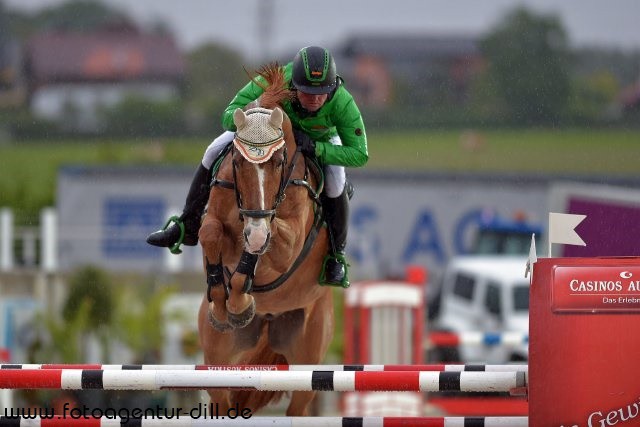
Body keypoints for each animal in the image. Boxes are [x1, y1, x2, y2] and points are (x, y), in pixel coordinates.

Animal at [198, 64, 332, 418]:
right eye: (237, 161)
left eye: (278, 161)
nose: (255, 227)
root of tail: (270, 322)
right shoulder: (217, 217)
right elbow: (210, 234)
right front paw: (223, 302)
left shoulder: (285, 244)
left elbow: (261, 246)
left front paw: (240, 301)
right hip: (219, 362)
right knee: (222, 398)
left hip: (308, 361)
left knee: (299, 407)